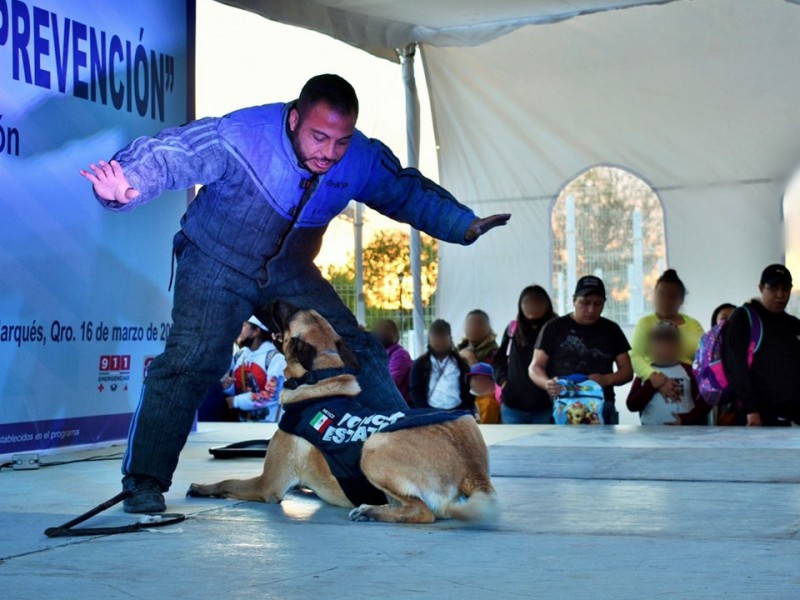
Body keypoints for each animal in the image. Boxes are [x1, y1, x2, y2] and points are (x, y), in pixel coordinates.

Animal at [190, 302, 496, 524]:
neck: (321, 377)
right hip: (464, 422)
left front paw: (202, 488)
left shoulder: (268, 485)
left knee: (423, 512)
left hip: (374, 447)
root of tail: (473, 471)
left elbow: (228, 480)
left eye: (290, 316)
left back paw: (371, 511)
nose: (272, 300)